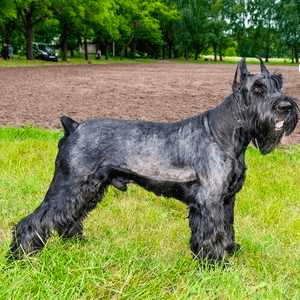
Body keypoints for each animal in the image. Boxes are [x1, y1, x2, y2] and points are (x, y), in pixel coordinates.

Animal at [9, 58, 298, 260]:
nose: (286, 106)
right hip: (69, 185)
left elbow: (226, 229)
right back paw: (21, 257)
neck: (224, 133)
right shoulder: (209, 201)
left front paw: (230, 252)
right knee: (34, 222)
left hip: (88, 189)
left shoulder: (226, 200)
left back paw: (76, 245)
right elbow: (211, 234)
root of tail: (74, 126)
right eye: (258, 88)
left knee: (68, 218)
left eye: (279, 82)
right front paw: (215, 264)